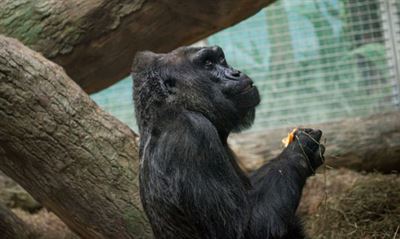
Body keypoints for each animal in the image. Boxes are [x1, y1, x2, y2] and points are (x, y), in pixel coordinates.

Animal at [131, 45, 324, 238]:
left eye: (221, 59)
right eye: (208, 64)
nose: (235, 72)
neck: (177, 105)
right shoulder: (190, 134)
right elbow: (244, 230)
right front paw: (300, 150)